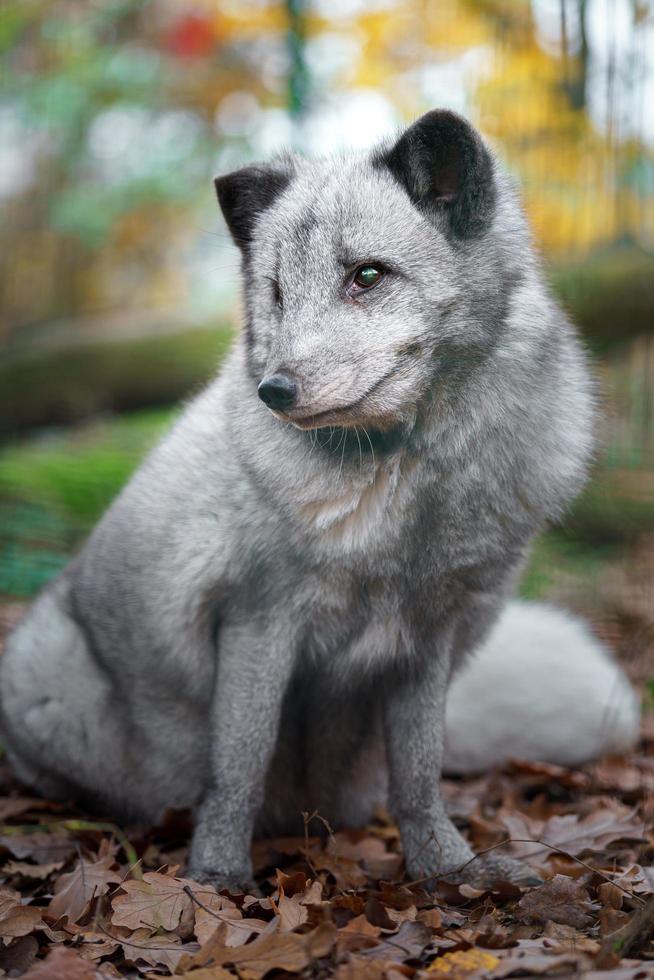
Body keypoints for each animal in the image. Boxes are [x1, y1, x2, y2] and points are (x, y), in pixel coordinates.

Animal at [0, 111, 640, 892]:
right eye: (275, 291)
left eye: (367, 275)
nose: (273, 390)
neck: (404, 490)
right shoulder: (258, 616)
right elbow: (239, 766)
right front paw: (217, 877)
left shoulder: (431, 632)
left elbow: (419, 774)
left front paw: (447, 869)